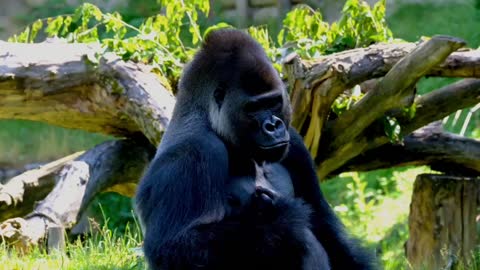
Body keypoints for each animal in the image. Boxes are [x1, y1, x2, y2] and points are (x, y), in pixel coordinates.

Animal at [135, 28, 376, 268]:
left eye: (273, 102)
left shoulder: (295, 143)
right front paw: (280, 219)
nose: (273, 126)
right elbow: (173, 247)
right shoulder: (194, 152)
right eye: (254, 108)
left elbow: (324, 223)